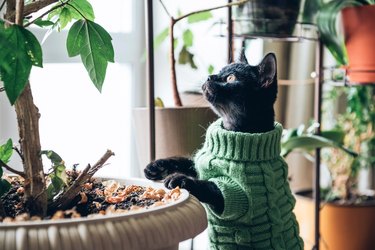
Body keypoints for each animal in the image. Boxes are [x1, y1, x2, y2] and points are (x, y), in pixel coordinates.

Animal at [145, 51, 304, 249]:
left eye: (230, 78)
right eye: (220, 71)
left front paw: (179, 180)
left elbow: (208, 185)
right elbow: (183, 160)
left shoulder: (235, 197)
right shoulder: (200, 164)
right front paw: (156, 166)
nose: (209, 76)